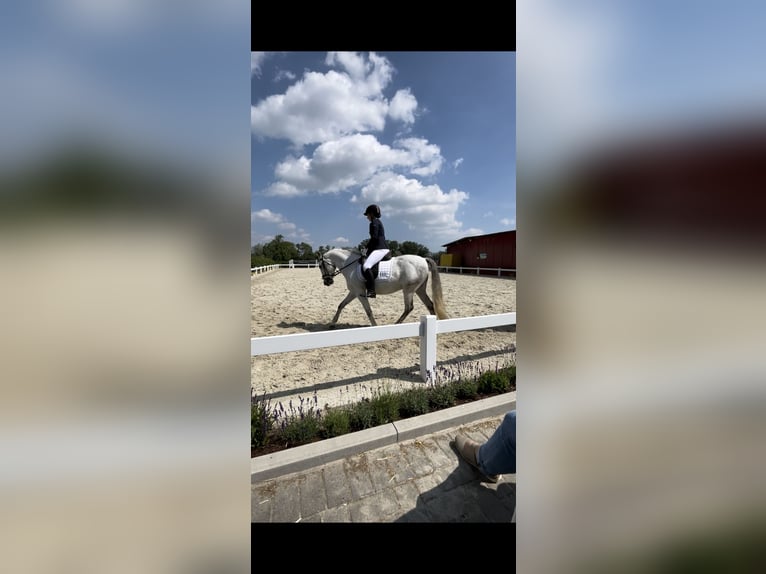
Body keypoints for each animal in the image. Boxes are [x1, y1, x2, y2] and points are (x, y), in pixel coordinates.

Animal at [318, 248, 449, 327]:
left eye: (320, 265)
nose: (327, 282)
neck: (350, 266)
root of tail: (423, 259)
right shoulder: (354, 292)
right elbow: (341, 305)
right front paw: (332, 323)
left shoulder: (360, 293)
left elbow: (368, 311)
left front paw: (375, 326)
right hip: (419, 289)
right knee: (430, 305)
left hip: (409, 290)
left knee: (409, 308)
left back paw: (396, 324)